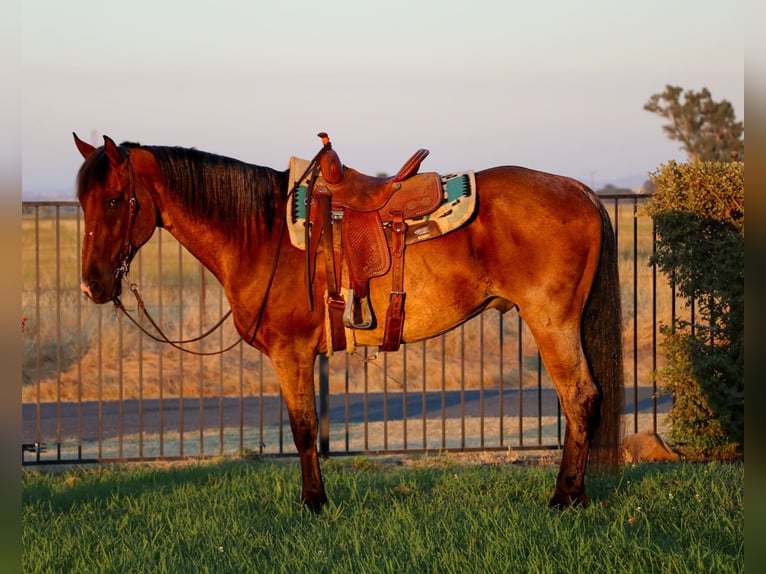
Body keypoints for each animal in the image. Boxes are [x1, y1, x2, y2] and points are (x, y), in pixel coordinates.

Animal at [73, 133, 624, 510]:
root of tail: (579, 190)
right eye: (83, 202)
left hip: (552, 322)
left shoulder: (291, 352)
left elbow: (303, 429)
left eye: (116, 200)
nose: (92, 286)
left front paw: (314, 503)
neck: (261, 233)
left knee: (580, 399)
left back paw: (564, 497)